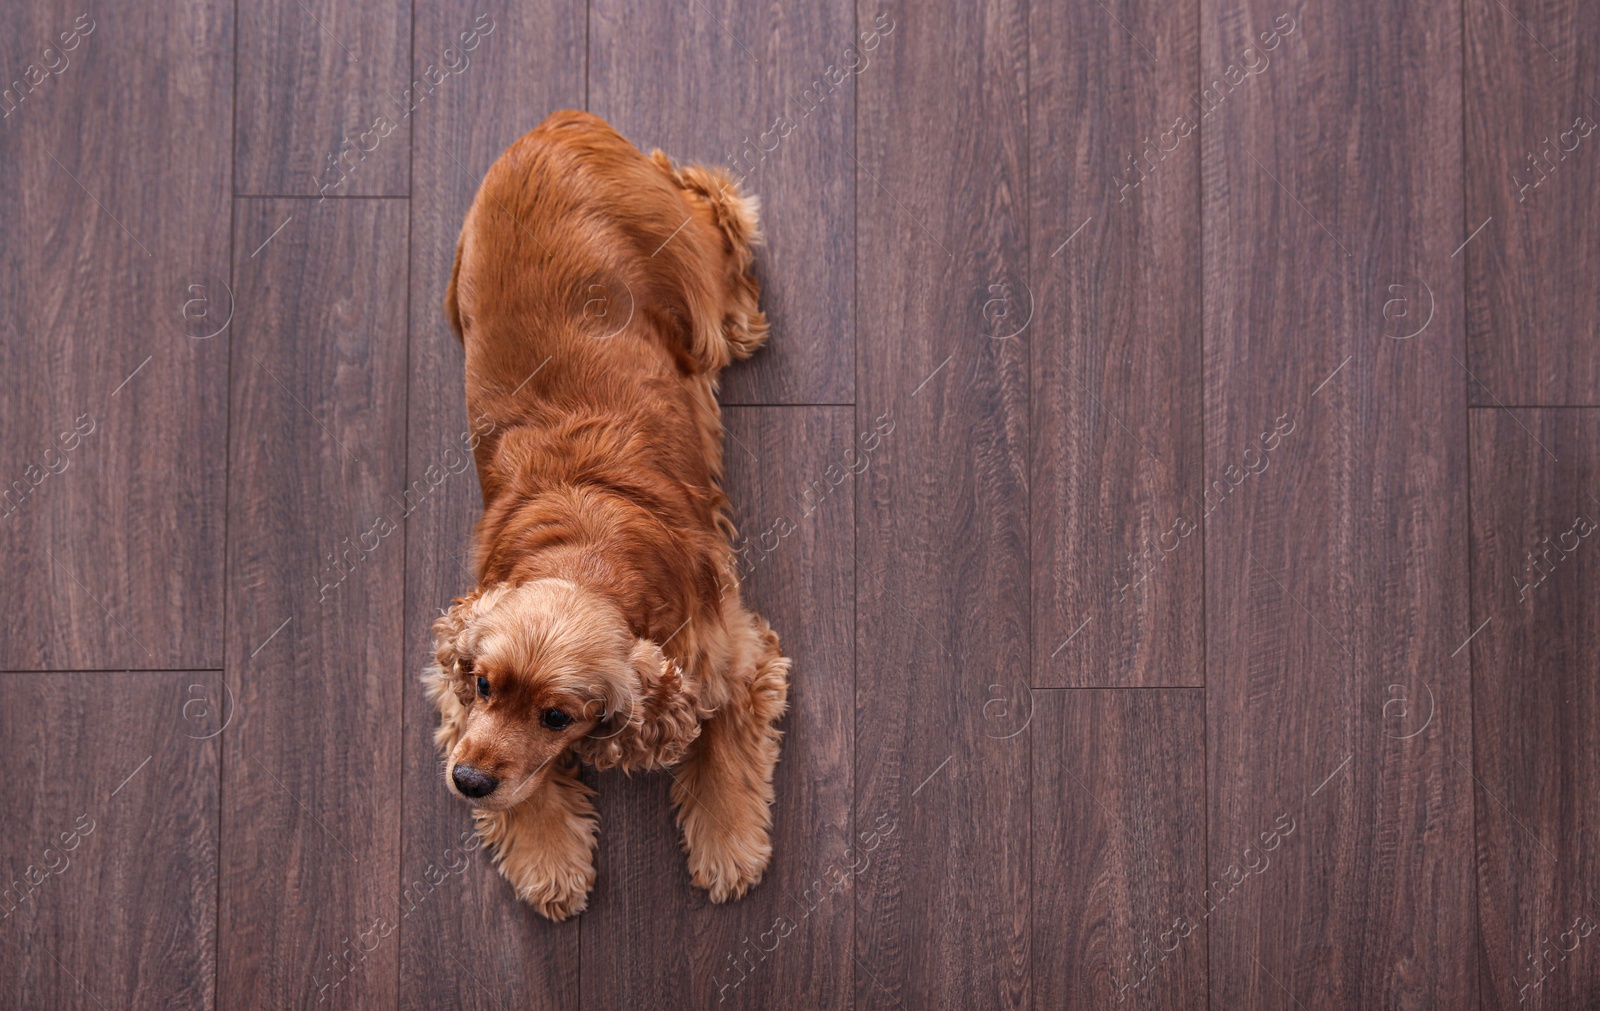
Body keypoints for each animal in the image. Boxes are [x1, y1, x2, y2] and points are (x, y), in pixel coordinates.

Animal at [422, 112, 790, 921]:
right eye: (485, 685)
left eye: (558, 716)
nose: (468, 783)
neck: (584, 551)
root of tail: (559, 124)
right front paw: (548, 860)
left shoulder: (734, 655)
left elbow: (725, 748)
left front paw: (728, 846)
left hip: (690, 276)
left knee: (713, 201)